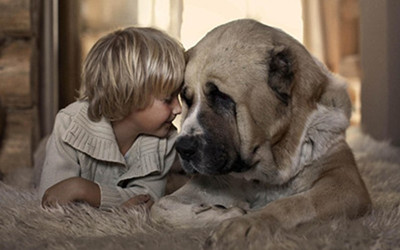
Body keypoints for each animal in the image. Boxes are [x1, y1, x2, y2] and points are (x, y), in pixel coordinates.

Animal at [151, 19, 372, 248]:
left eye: (221, 96)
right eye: (187, 99)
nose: (183, 148)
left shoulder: (345, 183)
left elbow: (294, 203)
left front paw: (247, 222)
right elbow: (159, 208)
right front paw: (228, 213)